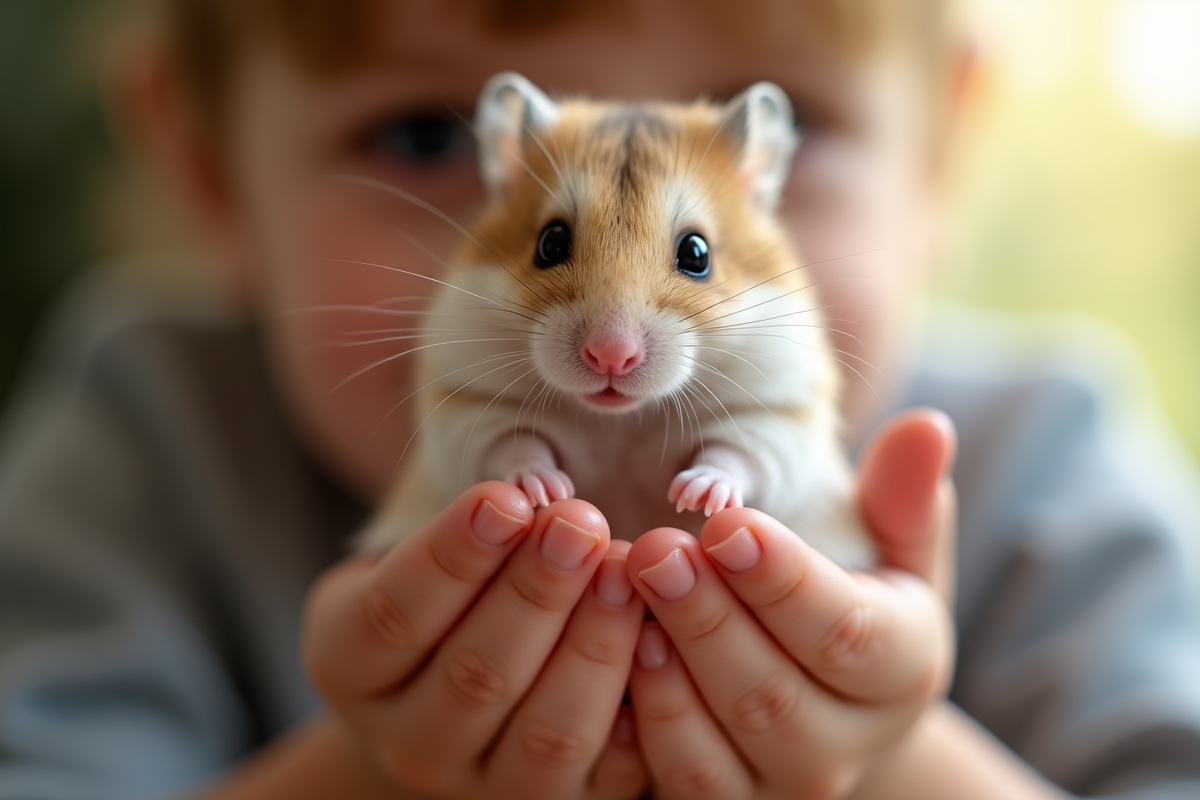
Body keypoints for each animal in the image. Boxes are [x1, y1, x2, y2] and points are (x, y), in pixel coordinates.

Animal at [359, 72, 875, 569]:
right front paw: (546, 489)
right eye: (549, 243)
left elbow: (736, 455)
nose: (611, 357)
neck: (619, 420)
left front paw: (695, 494)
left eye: (697, 253)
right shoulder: (468, 408)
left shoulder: (776, 415)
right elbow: (513, 445)